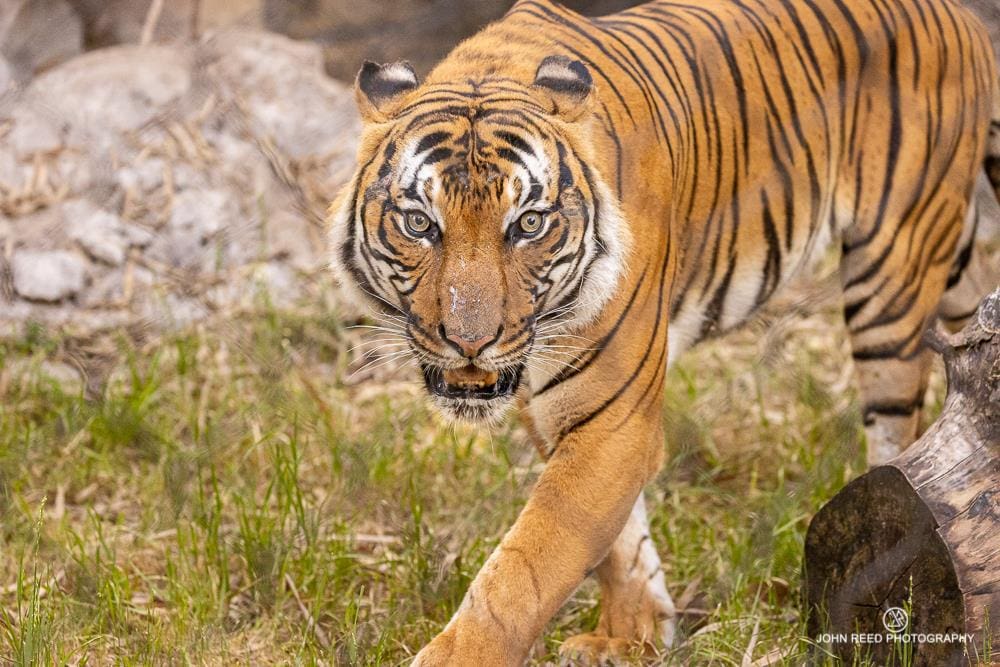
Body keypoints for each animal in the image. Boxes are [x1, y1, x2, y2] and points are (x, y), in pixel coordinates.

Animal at [330, 0, 1000, 664]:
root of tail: (962, 18)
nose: (470, 341)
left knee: (898, 429)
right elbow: (615, 544)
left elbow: (527, 567)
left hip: (892, 274)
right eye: (420, 223)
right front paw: (634, 637)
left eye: (528, 225)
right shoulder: (560, 411)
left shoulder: (612, 417)